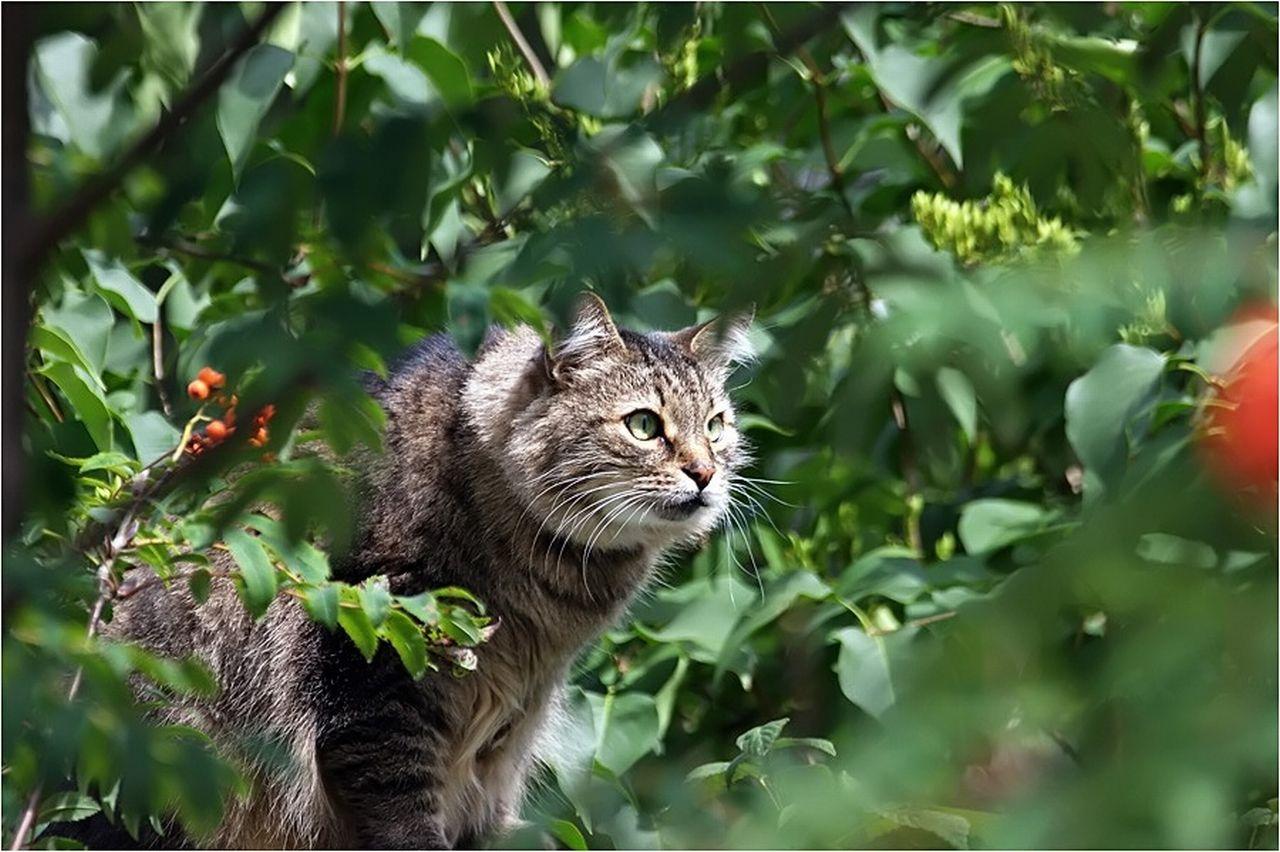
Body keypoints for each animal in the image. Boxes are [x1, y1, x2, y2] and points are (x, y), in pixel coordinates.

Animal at [102, 295, 757, 844]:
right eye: (644, 425)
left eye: (715, 426)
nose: (705, 473)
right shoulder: (372, 676)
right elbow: (401, 811)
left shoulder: (508, 731)